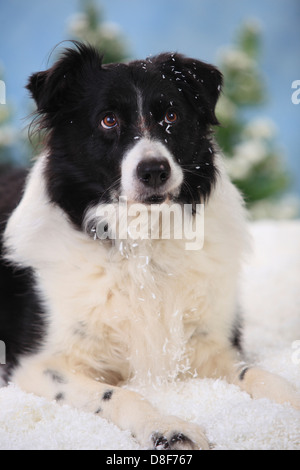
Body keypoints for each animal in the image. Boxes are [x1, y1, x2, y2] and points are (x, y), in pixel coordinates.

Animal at [0, 45, 298, 452]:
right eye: (108, 120)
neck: (143, 242)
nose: (154, 170)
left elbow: (259, 375)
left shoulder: (210, 345)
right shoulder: (37, 366)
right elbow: (118, 394)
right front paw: (166, 426)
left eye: (171, 115)